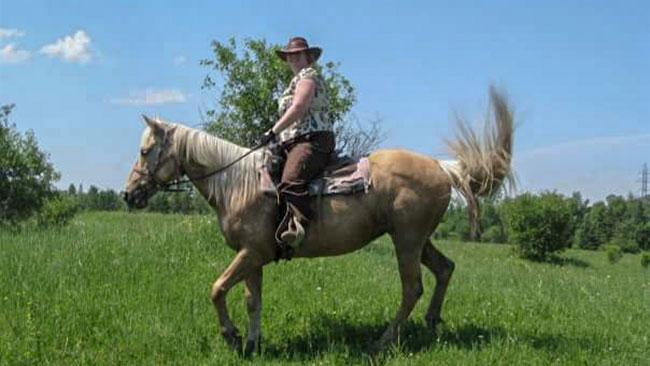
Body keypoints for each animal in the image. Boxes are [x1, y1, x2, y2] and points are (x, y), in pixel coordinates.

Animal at [123, 87, 512, 356]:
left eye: (144, 151)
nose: (129, 195)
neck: (238, 184)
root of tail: (442, 167)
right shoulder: (253, 257)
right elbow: (252, 300)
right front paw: (252, 344)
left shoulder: (251, 253)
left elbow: (217, 288)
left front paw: (232, 337)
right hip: (418, 239)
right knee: (444, 269)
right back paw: (431, 322)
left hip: (407, 240)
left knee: (412, 288)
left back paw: (381, 342)